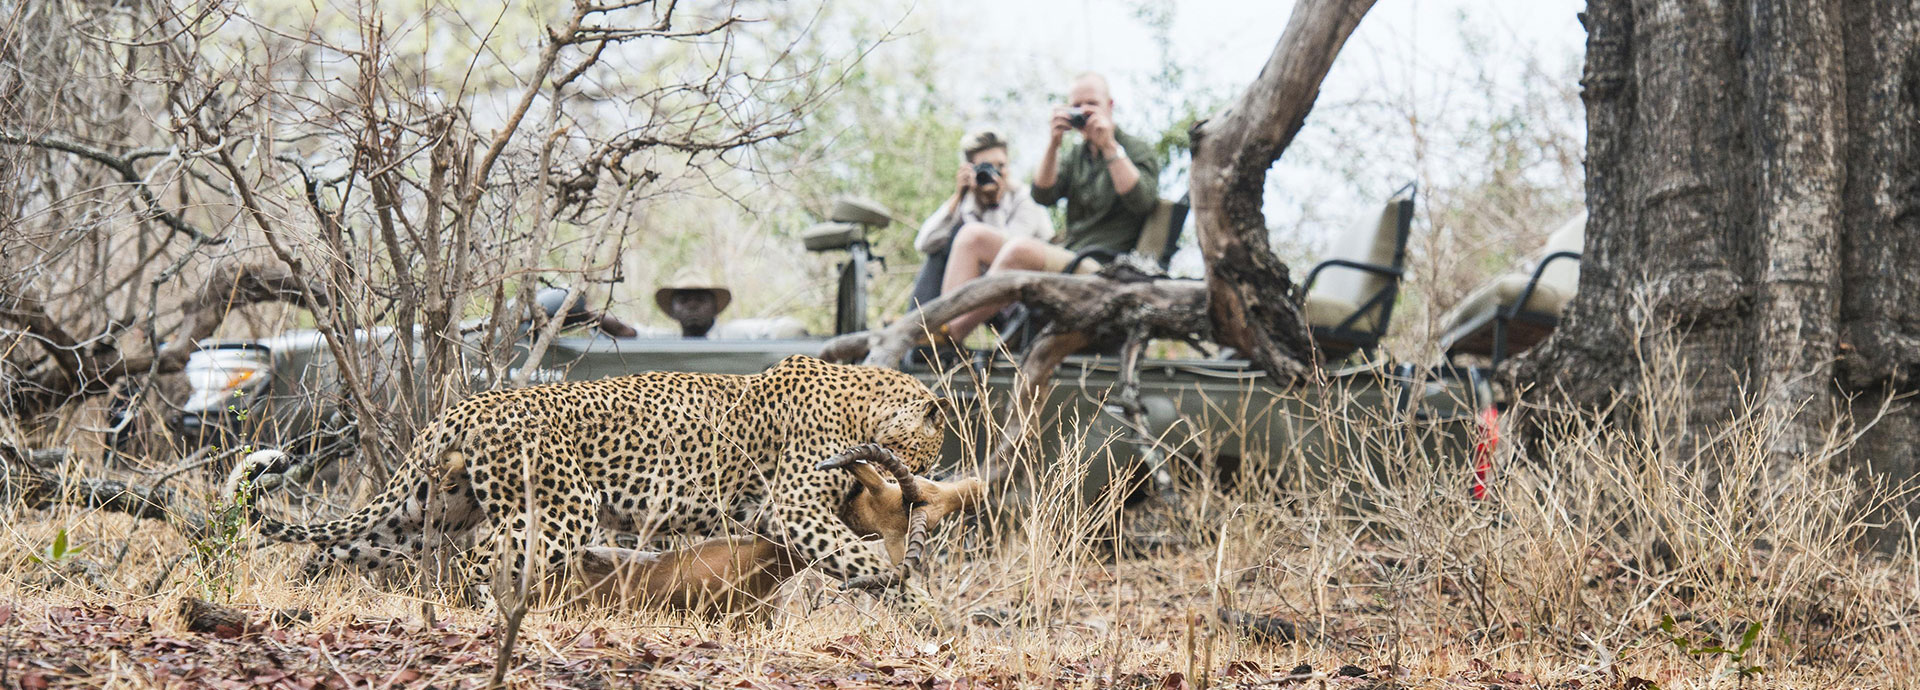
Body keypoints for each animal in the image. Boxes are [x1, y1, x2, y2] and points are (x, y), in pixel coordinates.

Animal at [224, 354, 953, 612]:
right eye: (931, 442)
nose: (924, 477)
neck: (861, 401)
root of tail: (466, 406)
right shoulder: (793, 508)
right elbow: (862, 557)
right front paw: (914, 599)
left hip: (421, 512)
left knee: (340, 547)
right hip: (561, 509)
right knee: (486, 563)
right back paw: (502, 617)